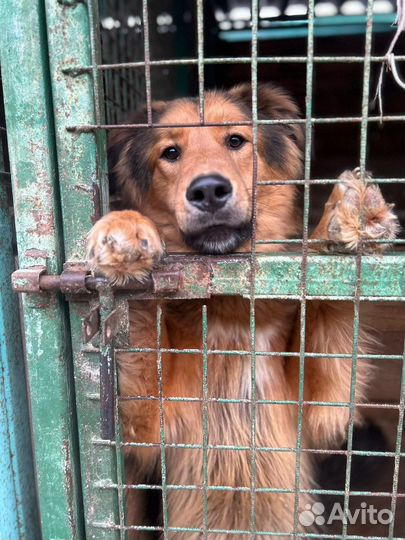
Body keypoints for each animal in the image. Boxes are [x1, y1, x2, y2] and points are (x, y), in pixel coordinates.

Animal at [86, 82, 398, 536]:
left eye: (235, 141)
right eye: (170, 153)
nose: (208, 190)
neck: (230, 314)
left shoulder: (324, 408)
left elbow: (323, 282)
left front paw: (343, 221)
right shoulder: (148, 418)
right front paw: (124, 228)